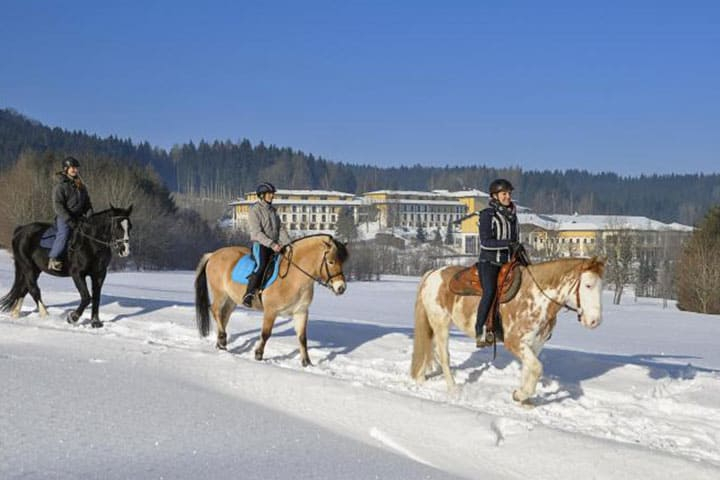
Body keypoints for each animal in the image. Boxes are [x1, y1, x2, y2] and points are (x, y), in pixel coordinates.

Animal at [0, 204, 133, 328]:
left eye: (129, 226)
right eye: (117, 226)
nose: (125, 250)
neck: (90, 243)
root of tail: (20, 230)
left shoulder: (99, 274)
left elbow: (96, 297)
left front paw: (96, 322)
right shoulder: (77, 274)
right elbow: (86, 297)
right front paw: (72, 317)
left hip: (34, 269)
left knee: (24, 288)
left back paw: (16, 314)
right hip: (28, 267)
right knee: (33, 289)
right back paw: (45, 315)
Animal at [193, 234, 348, 366]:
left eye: (342, 262)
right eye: (331, 261)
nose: (341, 288)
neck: (293, 278)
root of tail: (213, 254)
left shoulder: (301, 312)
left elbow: (302, 338)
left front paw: (306, 362)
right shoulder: (271, 311)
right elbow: (266, 334)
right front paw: (258, 354)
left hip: (232, 299)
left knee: (223, 316)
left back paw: (221, 344)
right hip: (220, 294)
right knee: (215, 310)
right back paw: (222, 338)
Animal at [408, 256, 604, 404]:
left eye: (601, 287)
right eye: (587, 285)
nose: (595, 321)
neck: (536, 298)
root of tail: (432, 273)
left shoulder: (535, 345)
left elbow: (529, 369)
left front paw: (524, 400)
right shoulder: (514, 342)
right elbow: (537, 367)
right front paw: (521, 394)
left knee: (429, 348)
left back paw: (422, 377)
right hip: (440, 324)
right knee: (444, 356)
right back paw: (453, 389)